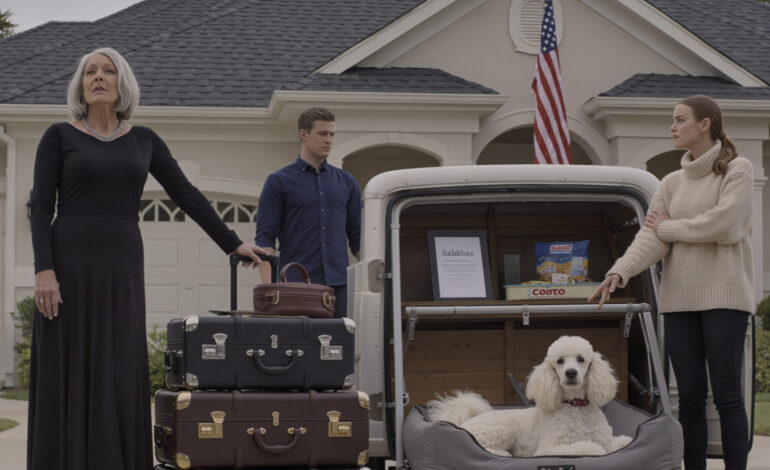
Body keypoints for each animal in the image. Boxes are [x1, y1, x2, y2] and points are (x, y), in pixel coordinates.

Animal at [427, 335, 632, 457]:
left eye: (581, 359)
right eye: (559, 361)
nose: (571, 373)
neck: (575, 405)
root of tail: (461, 423)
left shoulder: (607, 440)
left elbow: (621, 442)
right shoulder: (549, 449)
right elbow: (591, 448)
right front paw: (594, 450)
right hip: (502, 428)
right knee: (482, 447)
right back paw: (503, 455)